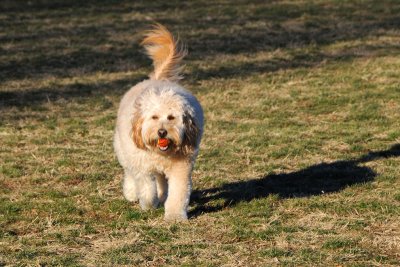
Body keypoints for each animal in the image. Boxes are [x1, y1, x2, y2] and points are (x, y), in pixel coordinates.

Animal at [114, 24, 205, 222]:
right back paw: (132, 193)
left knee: (162, 181)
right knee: (130, 173)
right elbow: (147, 189)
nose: (162, 132)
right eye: (154, 117)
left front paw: (175, 216)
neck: (161, 152)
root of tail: (157, 79)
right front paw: (148, 205)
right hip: (124, 150)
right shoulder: (142, 166)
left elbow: (178, 193)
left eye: (171, 117)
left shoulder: (181, 167)